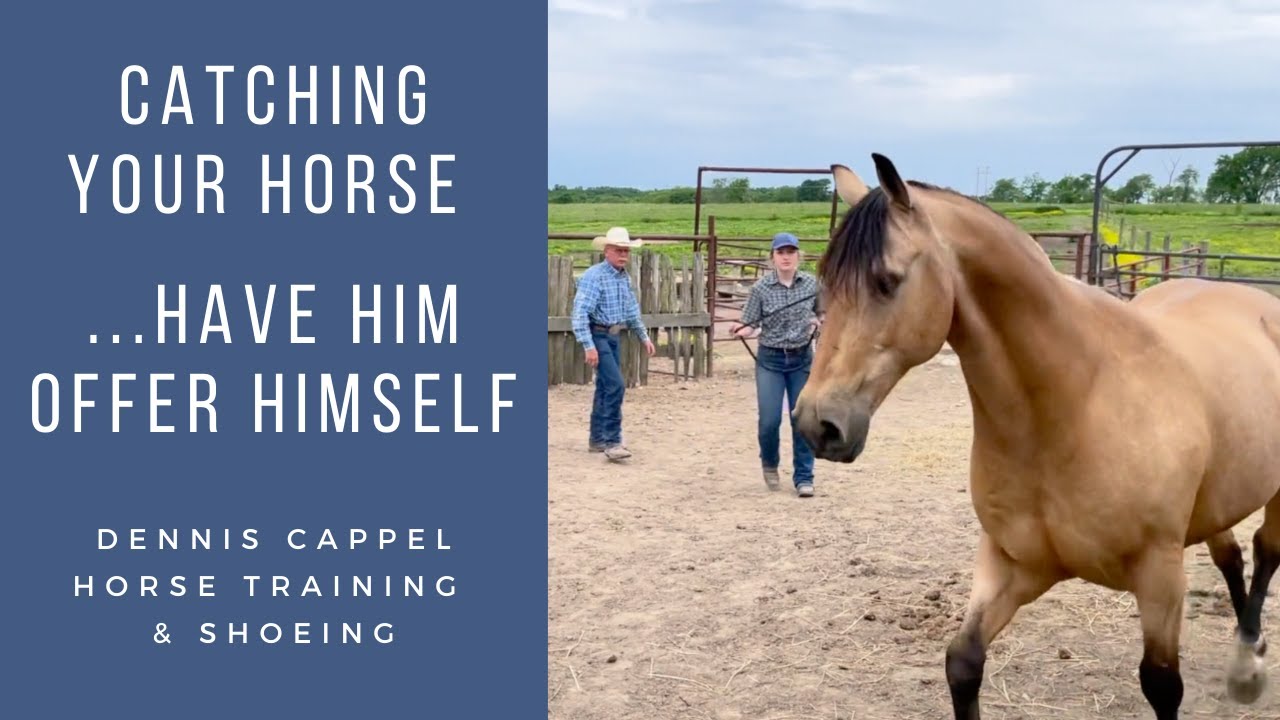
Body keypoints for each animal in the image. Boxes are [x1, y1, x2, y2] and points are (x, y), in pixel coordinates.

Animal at [789, 153, 1280, 719]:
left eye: (887, 281)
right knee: (1232, 556)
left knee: (1265, 552)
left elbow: (1162, 684)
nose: (816, 424)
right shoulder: (1013, 564)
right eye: (824, 284)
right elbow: (963, 661)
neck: (1073, 406)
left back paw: (1248, 668)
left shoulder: (1159, 575)